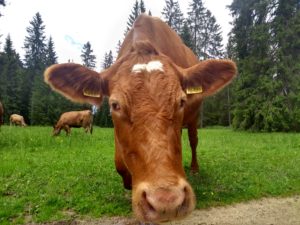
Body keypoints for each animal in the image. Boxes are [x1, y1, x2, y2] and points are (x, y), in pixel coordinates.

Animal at [44, 14, 237, 223]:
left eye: (181, 101)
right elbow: (120, 164)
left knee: (193, 141)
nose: (166, 202)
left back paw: (194, 168)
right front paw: (129, 183)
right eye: (115, 105)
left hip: (195, 117)